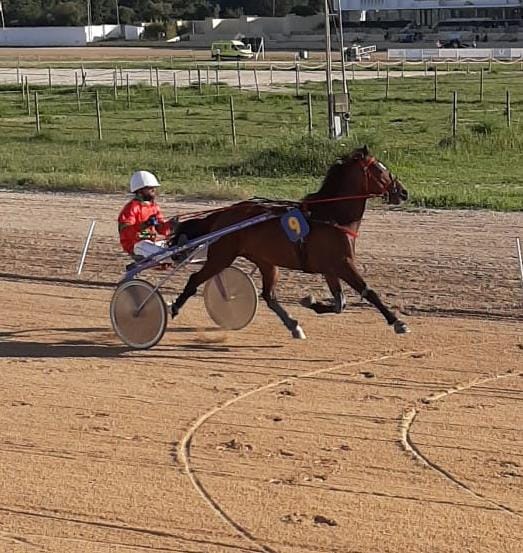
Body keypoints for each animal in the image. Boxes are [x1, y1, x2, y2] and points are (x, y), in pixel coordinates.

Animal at [170, 144, 412, 338]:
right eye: (379, 169)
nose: (403, 192)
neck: (332, 216)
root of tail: (223, 213)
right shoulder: (343, 264)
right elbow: (368, 291)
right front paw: (398, 322)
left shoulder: (330, 269)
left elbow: (339, 303)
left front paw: (311, 302)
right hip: (222, 256)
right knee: (195, 278)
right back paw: (174, 307)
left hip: (266, 262)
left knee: (269, 295)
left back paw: (293, 325)